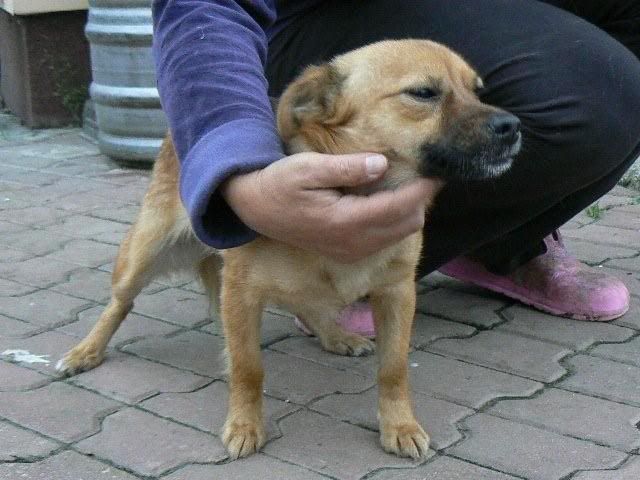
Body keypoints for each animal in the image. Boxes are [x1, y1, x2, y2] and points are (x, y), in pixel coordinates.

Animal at [56, 39, 521, 459]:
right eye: (423, 93)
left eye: (478, 91)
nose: (513, 126)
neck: (356, 193)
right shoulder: (241, 294)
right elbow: (248, 368)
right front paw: (245, 425)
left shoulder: (397, 294)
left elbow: (394, 369)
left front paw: (400, 426)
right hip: (144, 253)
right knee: (120, 303)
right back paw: (85, 351)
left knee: (310, 303)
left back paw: (337, 335)